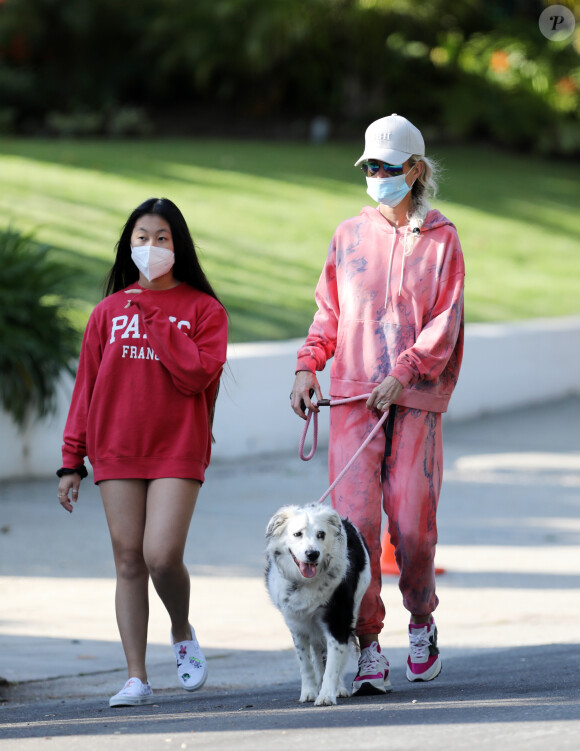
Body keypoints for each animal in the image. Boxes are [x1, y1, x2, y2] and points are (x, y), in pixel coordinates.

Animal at [266, 506, 370, 704]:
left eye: (321, 534)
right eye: (297, 534)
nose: (312, 554)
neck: (306, 582)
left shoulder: (338, 621)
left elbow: (333, 662)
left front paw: (326, 695)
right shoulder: (297, 625)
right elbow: (306, 664)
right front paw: (308, 692)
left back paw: (339, 688)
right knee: (316, 652)